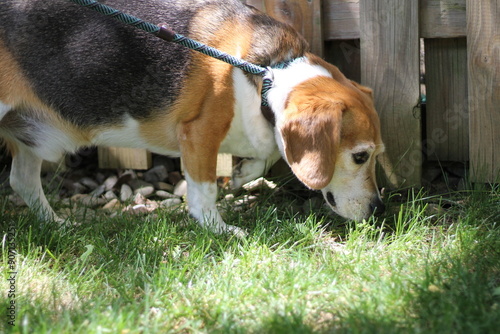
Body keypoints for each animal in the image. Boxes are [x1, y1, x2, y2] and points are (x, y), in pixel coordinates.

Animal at [0, 0, 384, 235]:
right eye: (359, 157)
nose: (379, 209)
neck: (267, 73)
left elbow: (267, 153)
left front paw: (243, 174)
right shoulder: (199, 134)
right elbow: (205, 190)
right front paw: (218, 229)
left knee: (21, 181)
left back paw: (56, 224)